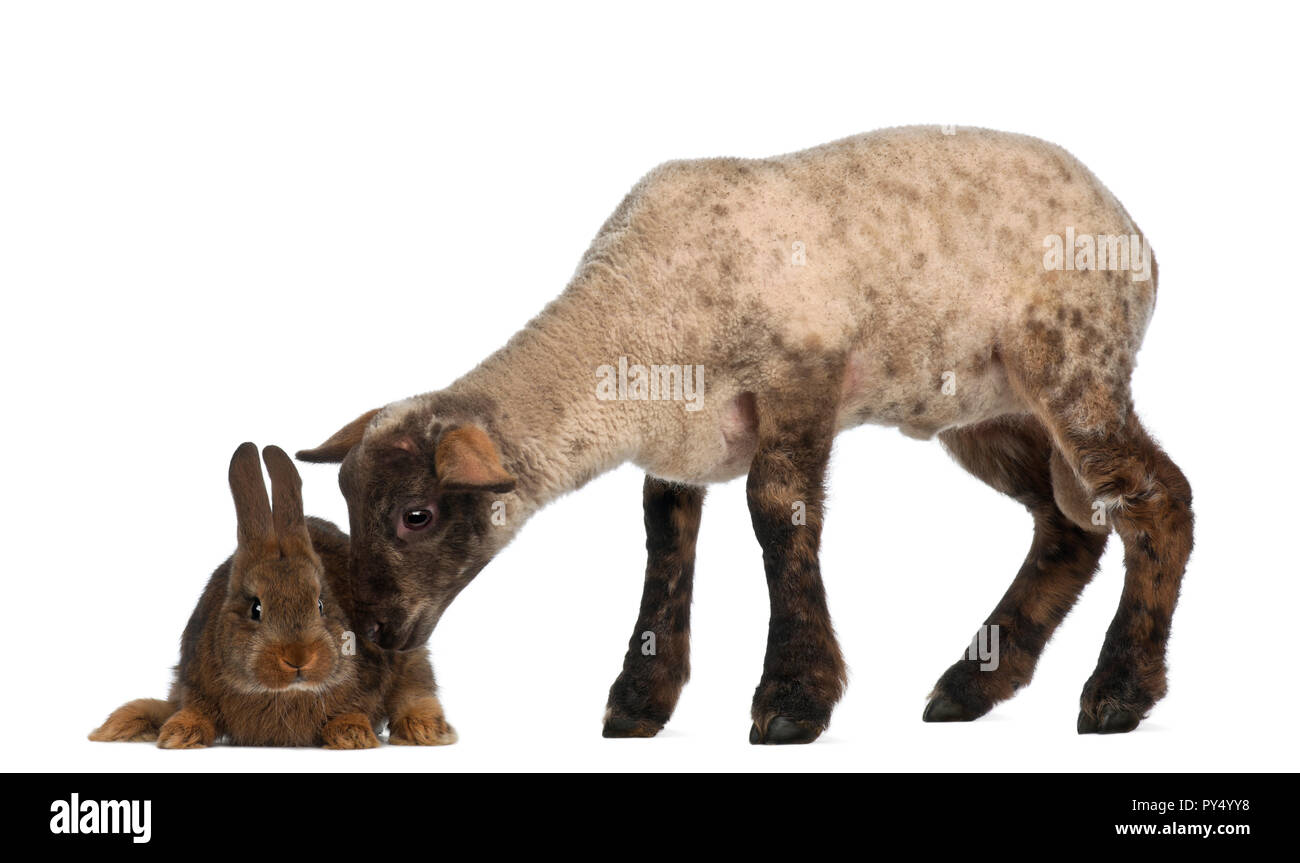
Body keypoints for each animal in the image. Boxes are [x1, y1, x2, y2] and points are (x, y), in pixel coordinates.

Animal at [89, 443, 456, 749]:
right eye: (255, 608)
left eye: (320, 604)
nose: (298, 657)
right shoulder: (194, 682)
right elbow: (194, 711)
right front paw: (178, 734)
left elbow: (355, 709)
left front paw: (351, 735)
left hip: (411, 658)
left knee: (416, 691)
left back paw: (425, 731)